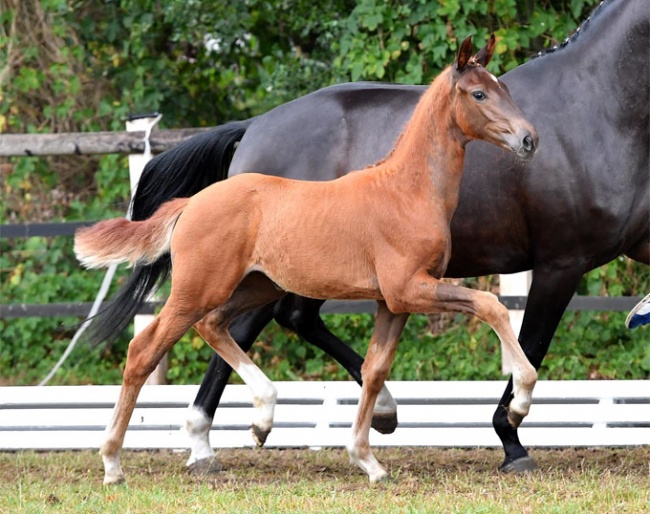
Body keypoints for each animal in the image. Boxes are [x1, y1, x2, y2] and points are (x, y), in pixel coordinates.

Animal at [93, 0, 644, 472]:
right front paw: (513, 428)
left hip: (266, 280)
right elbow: (517, 330)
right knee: (172, 340)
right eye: (479, 93)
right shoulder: (549, 264)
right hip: (220, 282)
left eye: (505, 90)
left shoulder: (399, 297)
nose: (529, 139)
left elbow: (390, 359)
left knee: (246, 323)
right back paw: (155, 452)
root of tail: (251, 129)